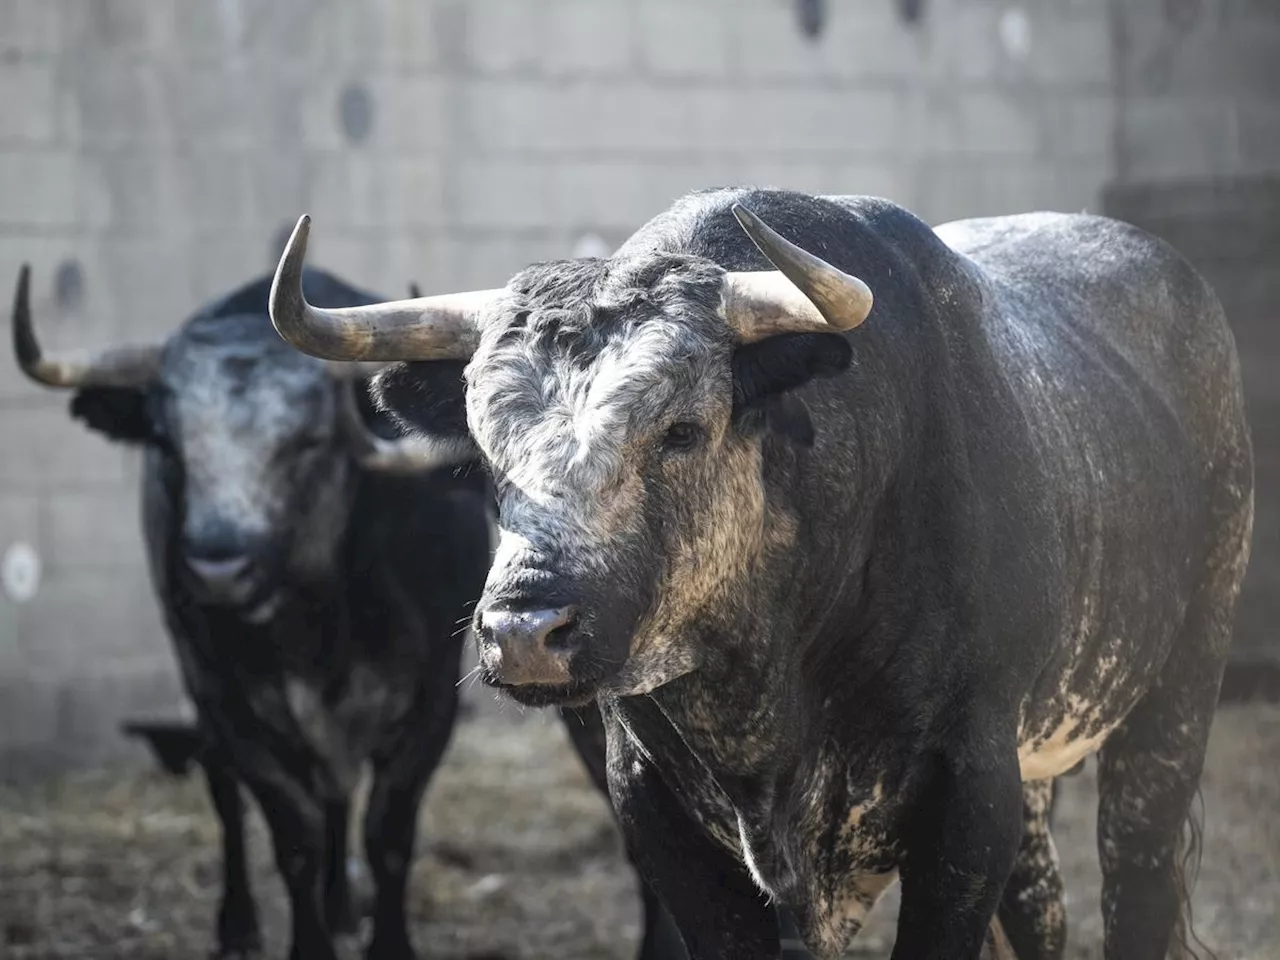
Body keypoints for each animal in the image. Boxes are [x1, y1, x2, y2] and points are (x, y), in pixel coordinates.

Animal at [262, 188, 1249, 960]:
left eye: (682, 430)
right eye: (481, 453)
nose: (524, 633)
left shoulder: (969, 794)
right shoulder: (658, 815)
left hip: (1176, 698)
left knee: (1137, 880)